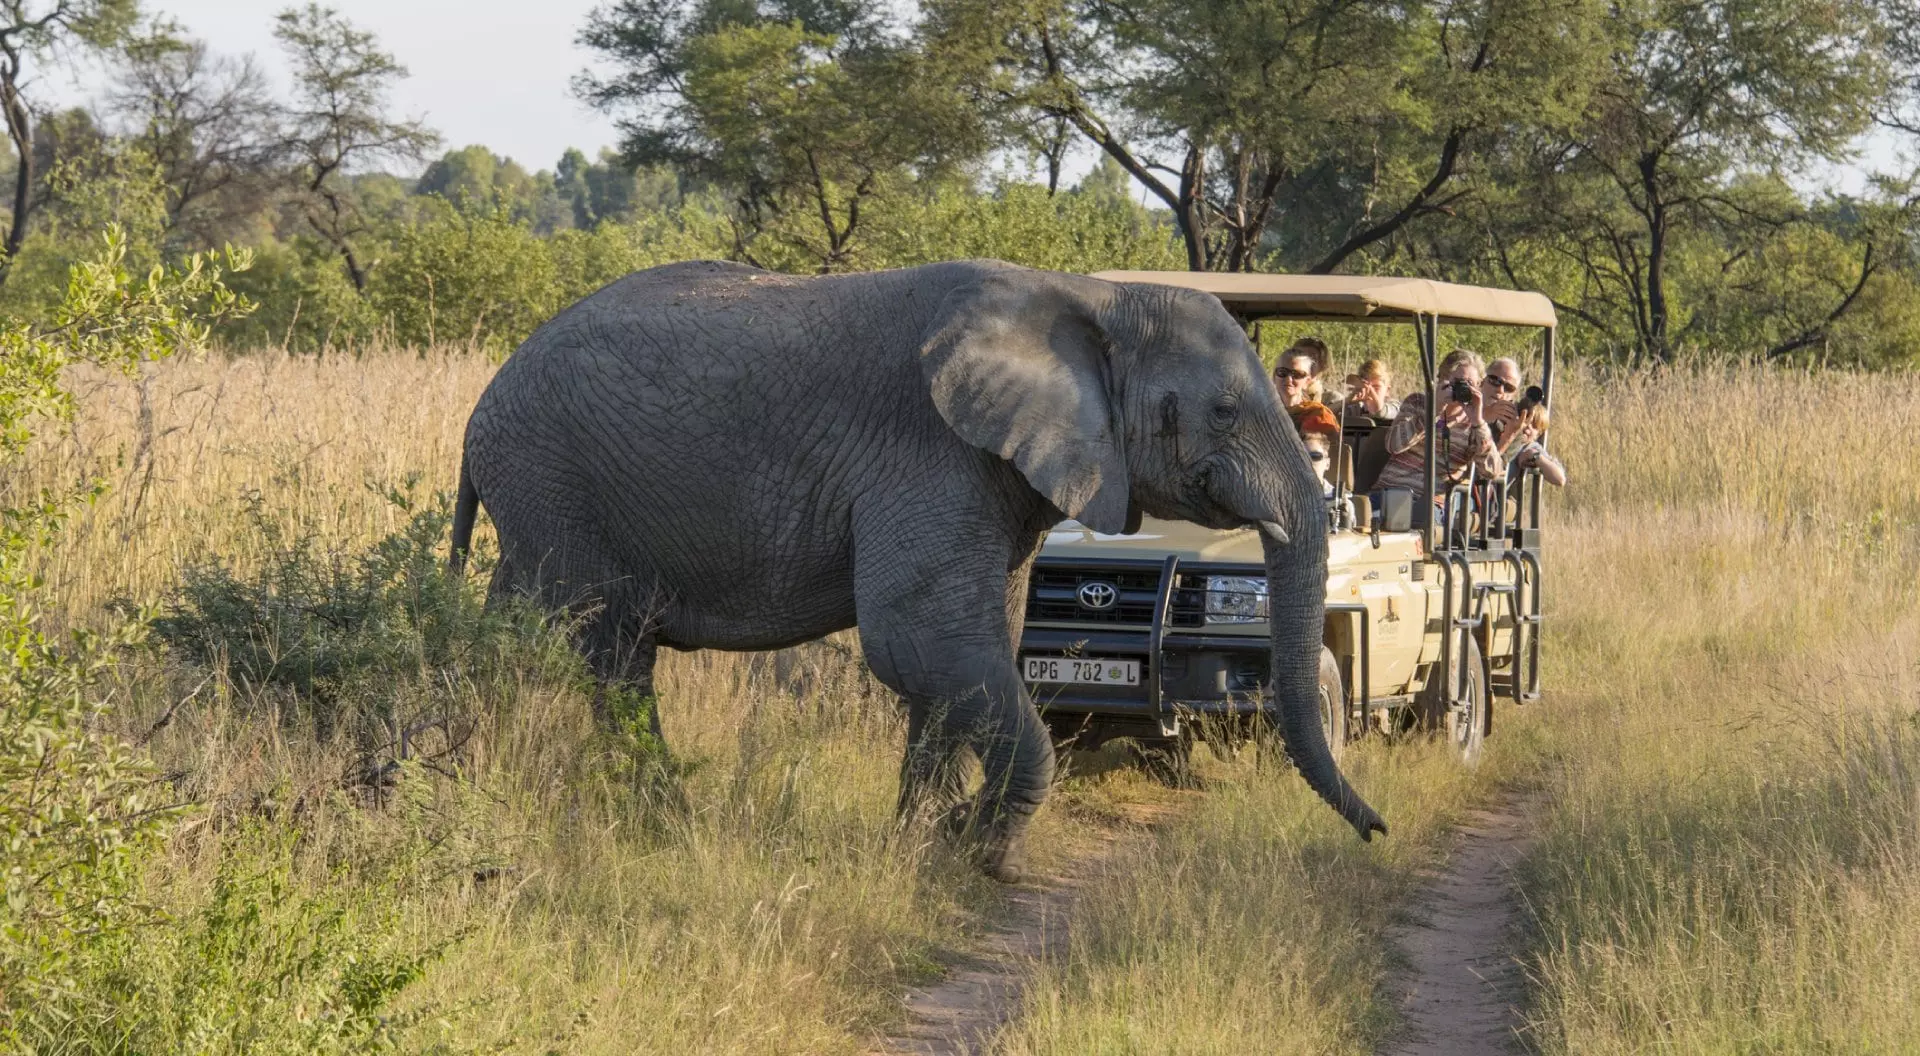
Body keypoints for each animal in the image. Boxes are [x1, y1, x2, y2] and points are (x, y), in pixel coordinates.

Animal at [448, 259, 1386, 881]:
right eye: (1223, 410)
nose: (1378, 831)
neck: (1092, 297)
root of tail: (482, 405)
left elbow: (967, 650)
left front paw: (921, 845)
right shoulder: (931, 454)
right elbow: (923, 643)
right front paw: (979, 854)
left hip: (541, 499)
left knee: (532, 643)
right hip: (554, 484)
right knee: (605, 653)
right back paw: (652, 820)